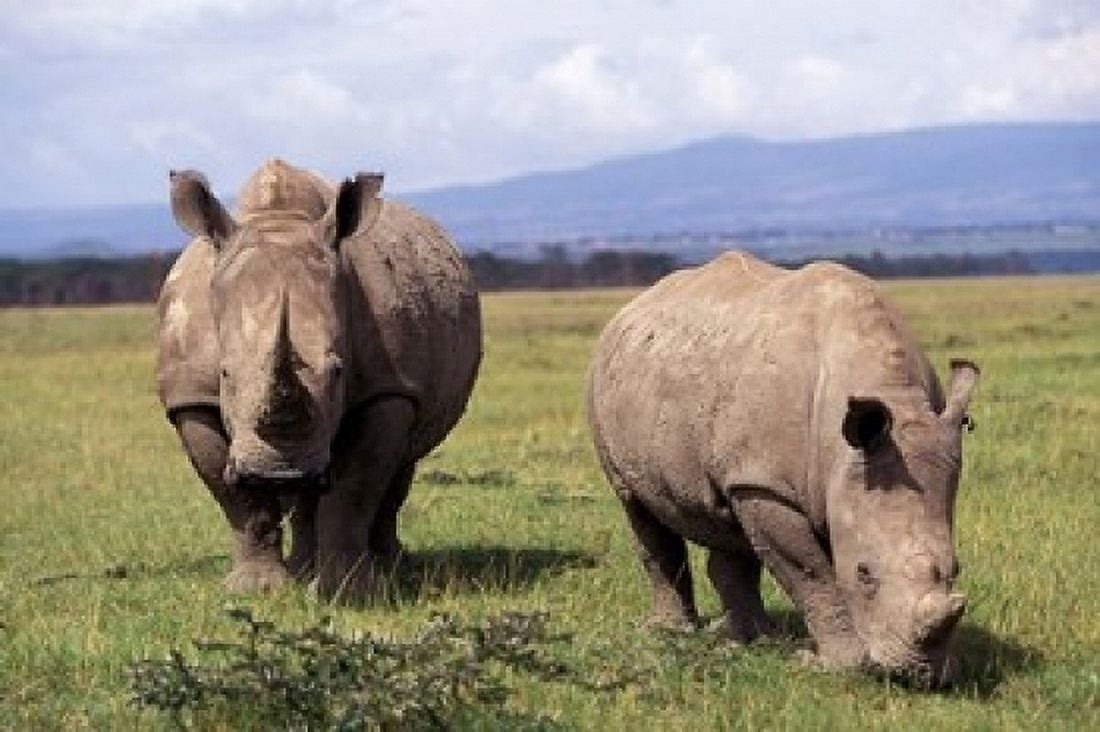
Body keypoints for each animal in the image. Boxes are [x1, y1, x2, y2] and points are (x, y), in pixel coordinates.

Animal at [156, 159, 481, 601]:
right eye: (225, 373)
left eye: (339, 371)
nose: (280, 471)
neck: (280, 220)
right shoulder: (191, 396)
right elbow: (240, 500)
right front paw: (255, 590)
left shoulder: (388, 388)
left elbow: (354, 488)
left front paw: (348, 592)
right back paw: (303, 569)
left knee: (401, 463)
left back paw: (391, 567)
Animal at [587, 251, 979, 685]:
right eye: (863, 573)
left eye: (956, 567)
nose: (917, 674)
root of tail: (631, 307)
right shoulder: (768, 484)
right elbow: (812, 575)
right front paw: (837, 664)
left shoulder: (768, 476)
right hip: (605, 386)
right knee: (637, 506)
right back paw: (673, 633)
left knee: (728, 519)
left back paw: (754, 640)